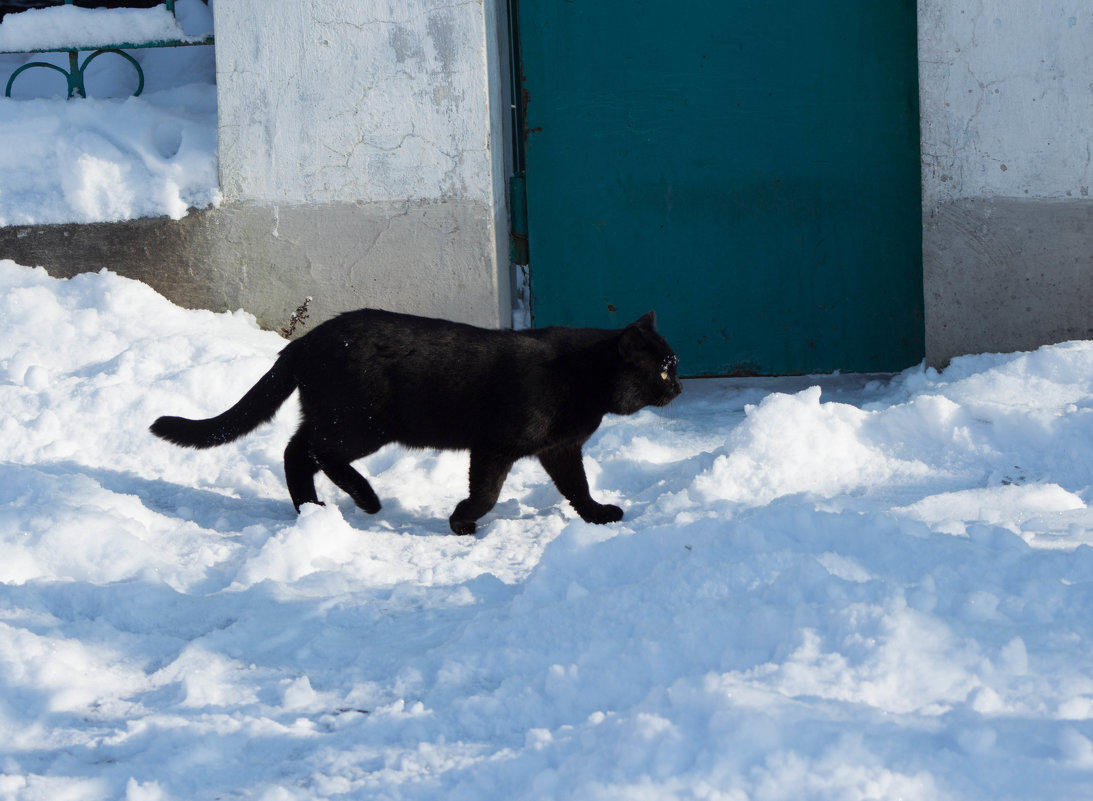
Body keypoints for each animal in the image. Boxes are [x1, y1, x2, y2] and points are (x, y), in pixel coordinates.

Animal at [151, 310, 682, 533]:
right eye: (661, 368)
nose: (678, 387)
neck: (582, 381)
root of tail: (303, 341)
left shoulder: (560, 449)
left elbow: (578, 487)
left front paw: (597, 515)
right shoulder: (494, 446)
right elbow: (486, 493)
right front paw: (461, 522)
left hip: (336, 419)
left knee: (297, 450)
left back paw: (316, 509)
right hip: (362, 424)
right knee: (308, 452)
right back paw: (361, 500)